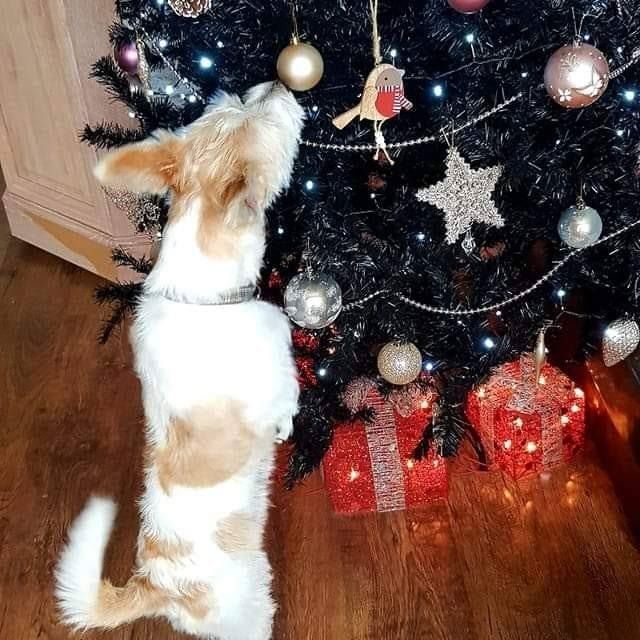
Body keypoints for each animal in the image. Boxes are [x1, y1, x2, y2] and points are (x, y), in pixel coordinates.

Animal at [55, 81, 304, 640]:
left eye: (233, 101)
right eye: (264, 123)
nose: (277, 82)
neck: (205, 294)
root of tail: (155, 585)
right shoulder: (277, 373)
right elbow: (288, 400)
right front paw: (287, 426)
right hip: (250, 606)